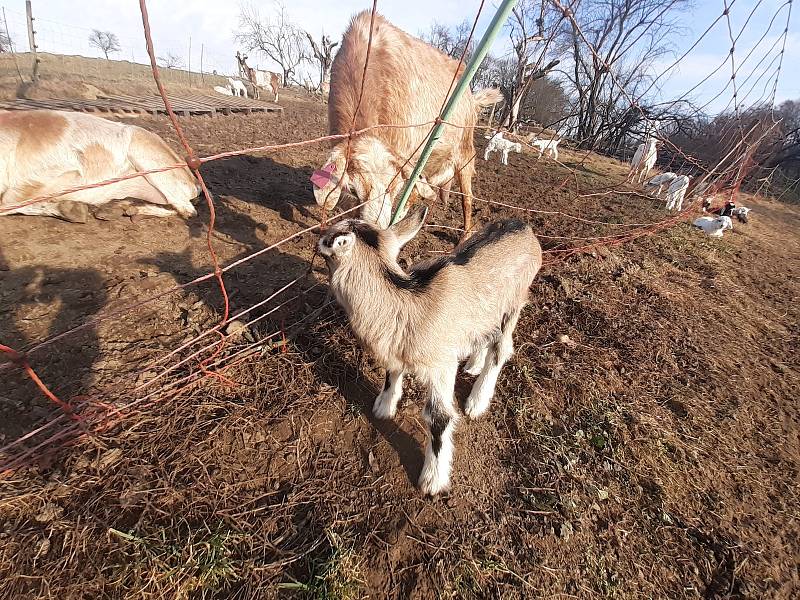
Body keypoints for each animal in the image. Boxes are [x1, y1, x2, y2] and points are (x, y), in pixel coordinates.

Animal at [0, 109, 200, 221]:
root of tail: (194, 181)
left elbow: (7, 202)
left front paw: (72, 210)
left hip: (145, 155)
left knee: (188, 211)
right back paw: (116, 208)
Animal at [318, 206, 544, 496]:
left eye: (325, 250)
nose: (320, 238)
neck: (405, 300)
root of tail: (523, 226)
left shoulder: (441, 365)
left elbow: (439, 417)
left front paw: (433, 480)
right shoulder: (397, 345)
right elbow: (392, 371)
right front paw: (384, 406)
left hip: (513, 304)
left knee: (501, 348)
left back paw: (477, 401)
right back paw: (473, 362)